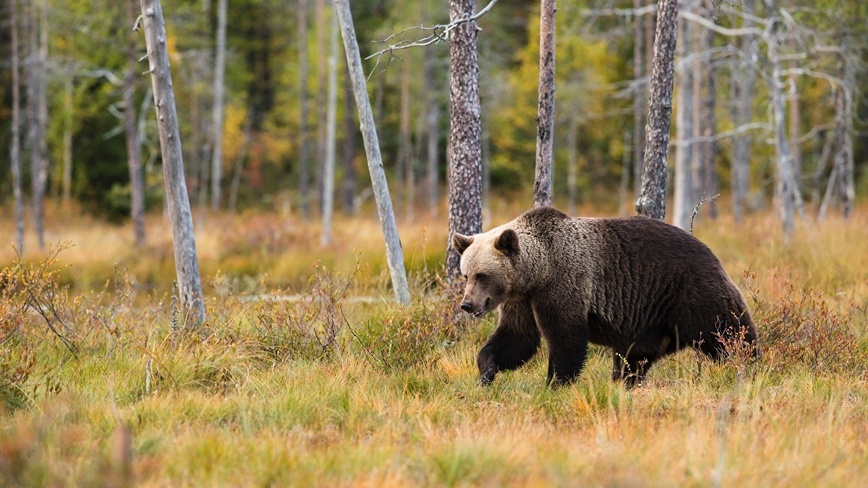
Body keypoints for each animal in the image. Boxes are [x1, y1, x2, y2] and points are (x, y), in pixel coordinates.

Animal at [450, 207, 756, 388]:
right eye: (466, 274)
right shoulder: (522, 300)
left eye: (482, 275)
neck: (538, 272)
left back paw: (749, 365)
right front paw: (486, 372)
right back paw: (625, 383)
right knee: (634, 358)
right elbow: (517, 338)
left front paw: (555, 383)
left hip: (690, 291)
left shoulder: (564, 284)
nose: (467, 304)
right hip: (649, 321)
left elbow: (566, 338)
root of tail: (710, 251)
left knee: (727, 331)